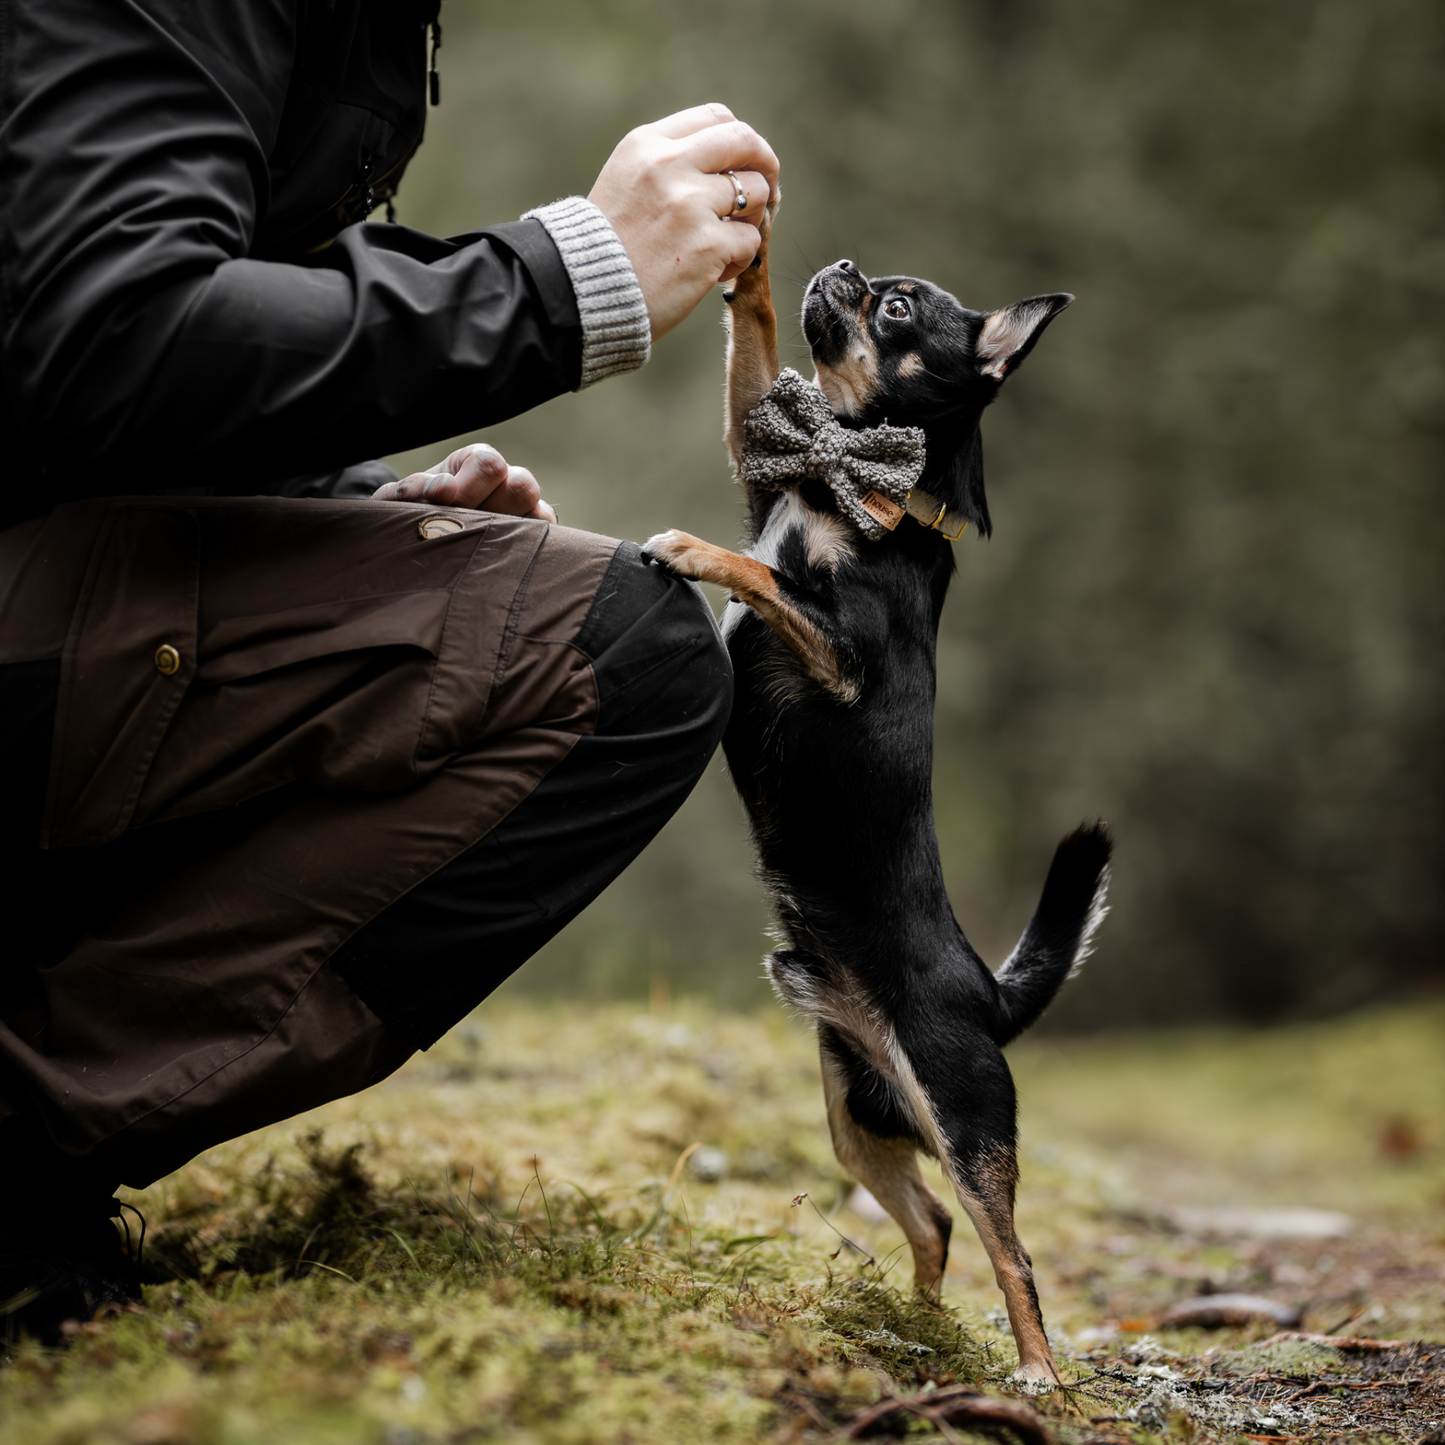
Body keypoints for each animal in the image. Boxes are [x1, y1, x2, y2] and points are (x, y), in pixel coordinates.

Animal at [650, 203, 1109, 1387]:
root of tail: (985, 992)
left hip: (959, 1117)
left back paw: (1034, 1372)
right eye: (871, 283)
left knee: (1010, 1254)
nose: (849, 269)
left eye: (897, 308)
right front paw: (750, 253)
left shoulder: (839, 656)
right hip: (857, 1115)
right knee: (934, 1225)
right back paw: (905, 1325)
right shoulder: (758, 458)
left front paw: (693, 547)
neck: (853, 487)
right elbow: (759, 357)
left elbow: (761, 573)